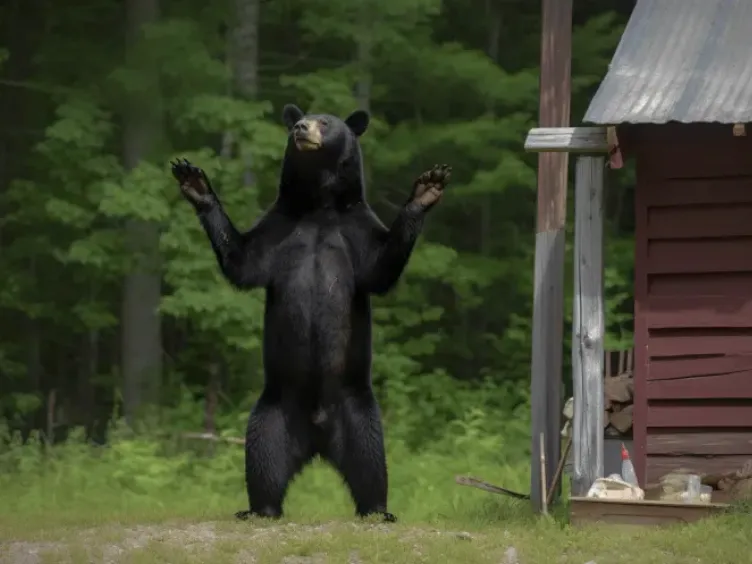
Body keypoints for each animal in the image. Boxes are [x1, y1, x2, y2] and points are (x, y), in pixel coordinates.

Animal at [170, 103, 451, 523]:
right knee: (263, 457)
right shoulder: (278, 228)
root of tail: (318, 438)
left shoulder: (356, 230)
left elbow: (382, 266)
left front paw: (427, 189)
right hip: (273, 411)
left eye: (326, 122)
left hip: (357, 408)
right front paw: (196, 184)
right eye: (300, 122)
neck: (319, 204)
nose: (301, 128)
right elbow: (242, 261)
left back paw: (377, 509)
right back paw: (260, 508)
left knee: (370, 459)